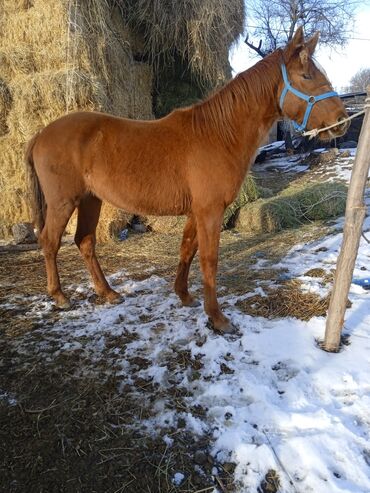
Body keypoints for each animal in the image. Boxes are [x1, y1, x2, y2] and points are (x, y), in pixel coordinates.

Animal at [27, 28, 348, 332]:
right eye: (306, 75)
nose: (341, 120)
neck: (218, 134)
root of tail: (41, 134)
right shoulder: (210, 211)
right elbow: (209, 260)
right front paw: (217, 318)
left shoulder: (198, 211)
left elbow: (187, 250)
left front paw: (184, 295)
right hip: (63, 202)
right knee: (50, 241)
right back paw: (59, 296)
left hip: (90, 200)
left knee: (85, 242)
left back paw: (108, 293)